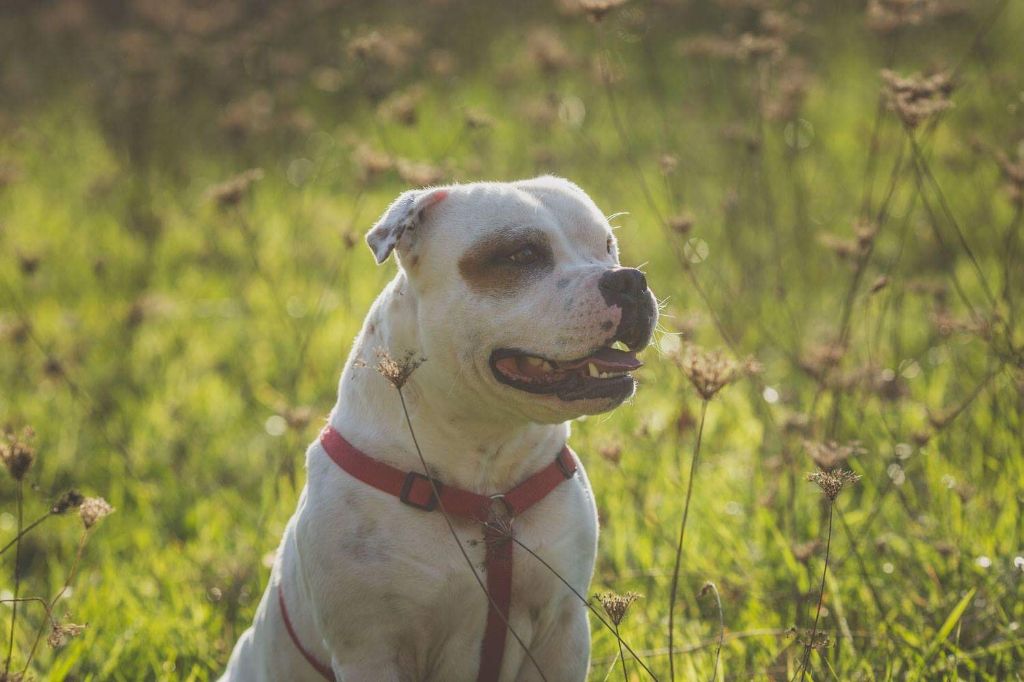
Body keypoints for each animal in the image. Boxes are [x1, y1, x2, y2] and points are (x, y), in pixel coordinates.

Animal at [220, 176, 659, 679]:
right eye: (522, 255)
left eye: (607, 247)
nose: (629, 279)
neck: (485, 475)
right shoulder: (371, 649)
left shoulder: (561, 631)